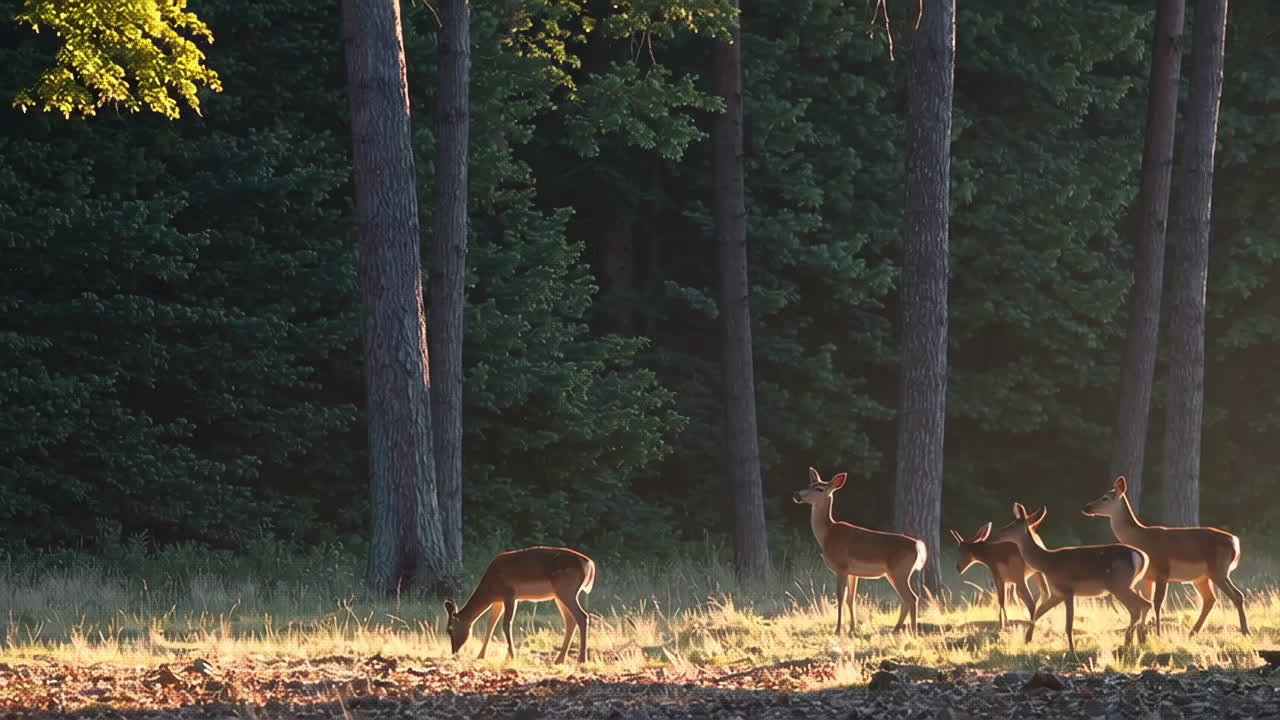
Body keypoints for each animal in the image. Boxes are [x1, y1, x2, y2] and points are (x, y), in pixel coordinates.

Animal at [442, 546, 595, 664]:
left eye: (449, 629)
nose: (454, 652)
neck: (490, 588)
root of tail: (590, 564)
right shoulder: (498, 600)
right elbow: (491, 624)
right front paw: (480, 656)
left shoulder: (510, 594)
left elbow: (506, 624)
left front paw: (511, 656)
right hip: (559, 595)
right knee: (570, 620)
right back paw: (559, 659)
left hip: (566, 590)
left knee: (582, 616)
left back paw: (582, 659)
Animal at [792, 467, 927, 634]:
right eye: (809, 484)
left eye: (819, 489)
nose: (796, 495)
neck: (827, 534)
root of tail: (918, 545)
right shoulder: (853, 572)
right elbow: (851, 599)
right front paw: (852, 629)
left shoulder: (841, 567)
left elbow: (840, 597)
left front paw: (838, 630)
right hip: (893, 573)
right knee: (906, 599)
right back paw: (896, 630)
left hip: (900, 571)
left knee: (912, 598)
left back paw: (913, 632)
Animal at [988, 503, 1151, 653]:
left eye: (1010, 526)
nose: (994, 536)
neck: (1047, 562)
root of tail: (1142, 556)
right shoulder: (1057, 593)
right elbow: (1039, 612)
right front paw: (1027, 639)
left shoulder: (1067, 591)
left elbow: (1068, 625)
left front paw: (1072, 650)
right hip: (1125, 586)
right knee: (1141, 606)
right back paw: (1134, 641)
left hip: (1119, 585)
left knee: (1140, 607)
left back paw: (1132, 641)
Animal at [1082, 475, 1249, 636]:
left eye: (1105, 498)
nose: (1086, 507)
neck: (1140, 538)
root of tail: (1235, 543)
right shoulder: (1147, 577)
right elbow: (1147, 601)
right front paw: (1144, 632)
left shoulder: (1162, 570)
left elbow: (1157, 603)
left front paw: (1157, 633)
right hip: (1202, 577)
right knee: (1210, 599)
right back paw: (1192, 632)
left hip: (1218, 570)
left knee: (1237, 595)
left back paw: (1245, 631)